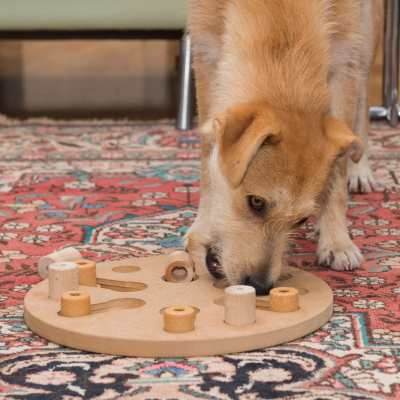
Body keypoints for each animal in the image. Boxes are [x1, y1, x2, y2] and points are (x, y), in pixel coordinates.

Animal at [186, 0, 382, 294]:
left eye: (300, 220)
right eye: (256, 202)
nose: (259, 286)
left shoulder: (345, 54)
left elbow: (338, 173)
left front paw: (337, 241)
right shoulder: (207, 52)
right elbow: (208, 155)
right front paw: (203, 226)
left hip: (366, 31)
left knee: (363, 96)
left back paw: (361, 170)